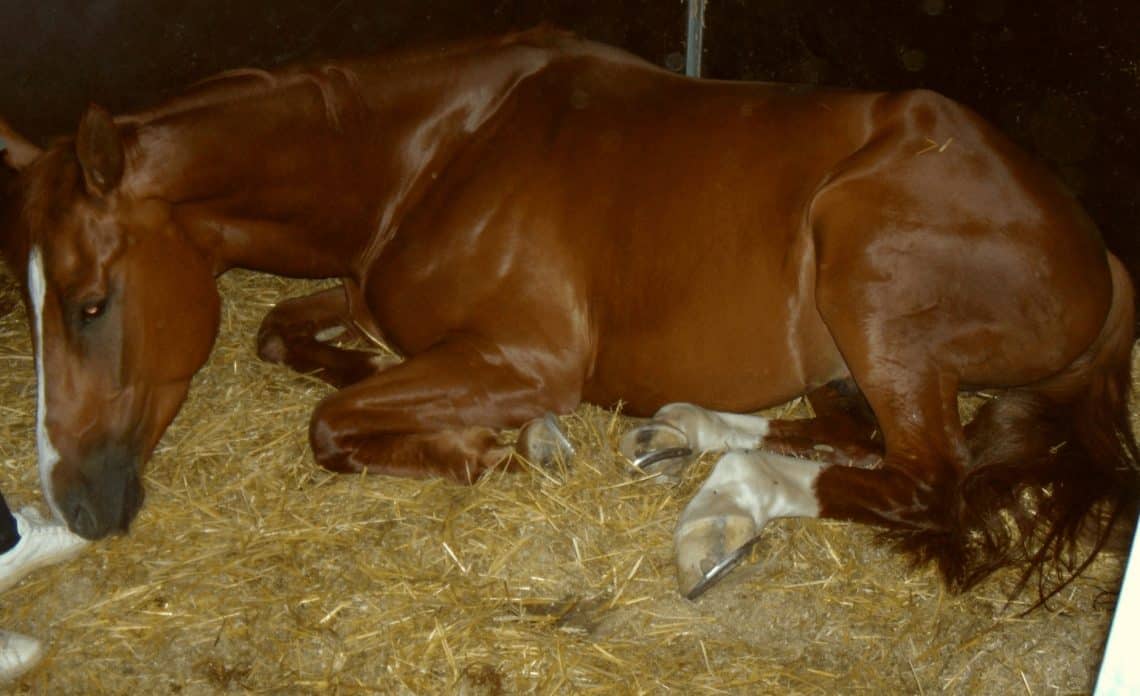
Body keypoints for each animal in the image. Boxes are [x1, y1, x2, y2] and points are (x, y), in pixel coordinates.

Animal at [1, 27, 1136, 602]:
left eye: (92, 303)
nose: (77, 505)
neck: (439, 147)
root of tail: (1104, 260)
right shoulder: (373, 301)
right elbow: (282, 334)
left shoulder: (526, 354)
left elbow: (329, 424)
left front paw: (498, 446)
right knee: (845, 429)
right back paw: (679, 434)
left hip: (868, 278)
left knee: (925, 479)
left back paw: (724, 506)